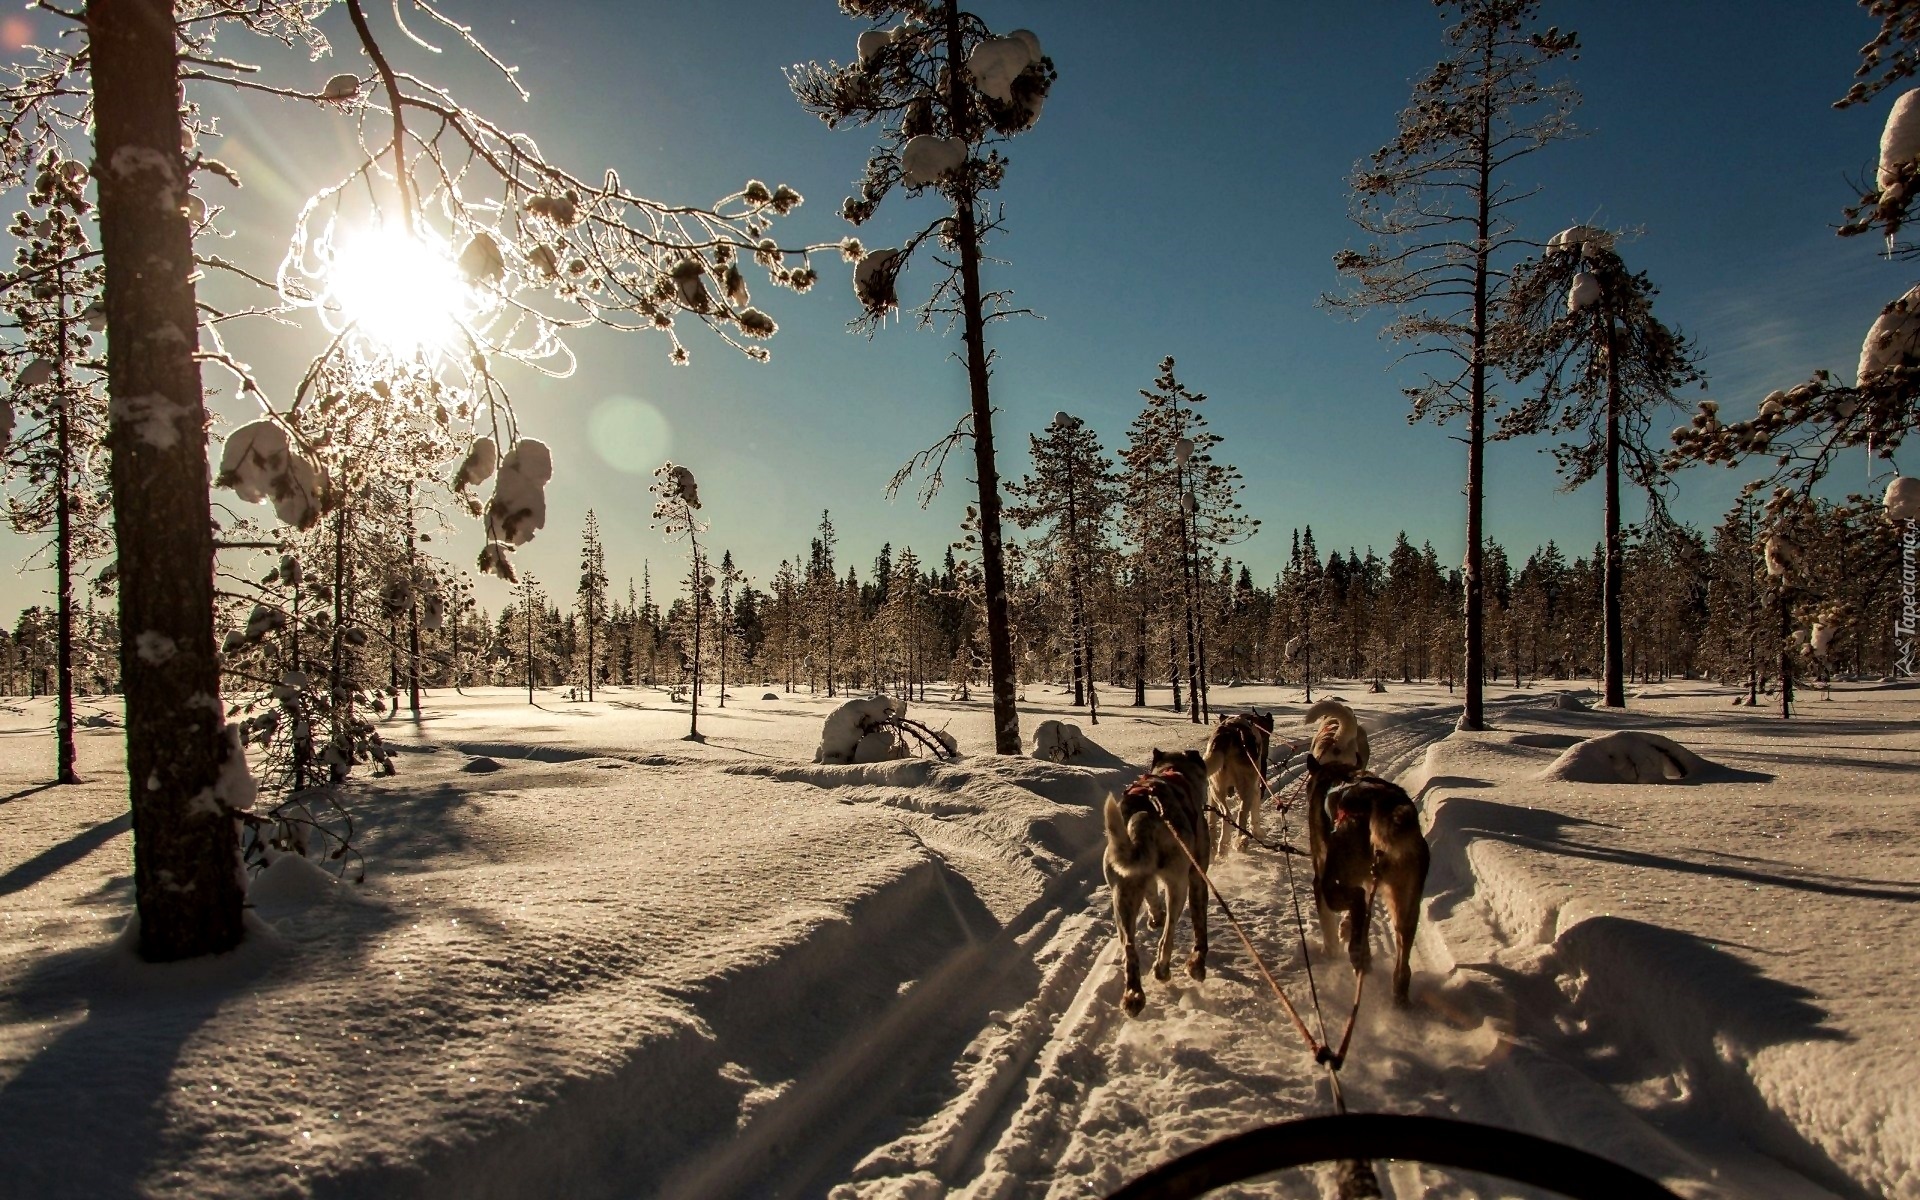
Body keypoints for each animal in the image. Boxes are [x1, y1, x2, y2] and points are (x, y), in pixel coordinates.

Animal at [1105, 748, 1205, 1013]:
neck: (1173, 771)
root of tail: (1145, 815)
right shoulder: (1197, 878)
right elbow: (1200, 927)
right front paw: (1198, 964)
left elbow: (1151, 896)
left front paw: (1154, 917)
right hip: (1177, 887)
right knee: (1167, 937)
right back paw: (1162, 969)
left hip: (1122, 896)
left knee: (1130, 947)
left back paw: (1134, 995)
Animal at [1198, 706, 1274, 856]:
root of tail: (1231, 732)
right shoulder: (1255, 789)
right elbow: (1254, 815)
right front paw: (1258, 832)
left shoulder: (1212, 792)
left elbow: (1212, 819)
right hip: (1245, 789)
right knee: (1240, 814)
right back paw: (1240, 842)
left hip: (1217, 788)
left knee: (1226, 814)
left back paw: (1223, 845)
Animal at [1305, 698, 1428, 1006]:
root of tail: (1380, 804)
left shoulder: (1320, 878)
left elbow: (1329, 925)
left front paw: (1331, 948)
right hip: (1406, 905)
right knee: (1402, 958)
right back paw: (1397, 992)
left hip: (1332, 880)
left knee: (1358, 900)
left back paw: (1358, 953)